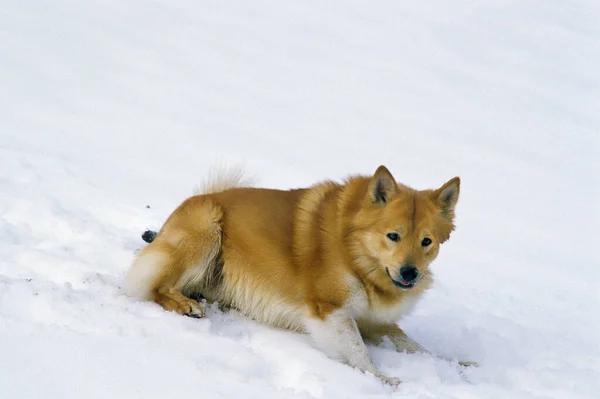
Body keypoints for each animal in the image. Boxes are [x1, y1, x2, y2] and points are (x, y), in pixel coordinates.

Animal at [126, 165, 472, 384]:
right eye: (393, 236)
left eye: (427, 241)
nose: (410, 273)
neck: (355, 252)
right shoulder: (329, 308)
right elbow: (357, 350)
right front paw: (382, 379)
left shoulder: (374, 319)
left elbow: (417, 347)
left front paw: (459, 365)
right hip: (207, 227)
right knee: (156, 288)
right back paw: (186, 305)